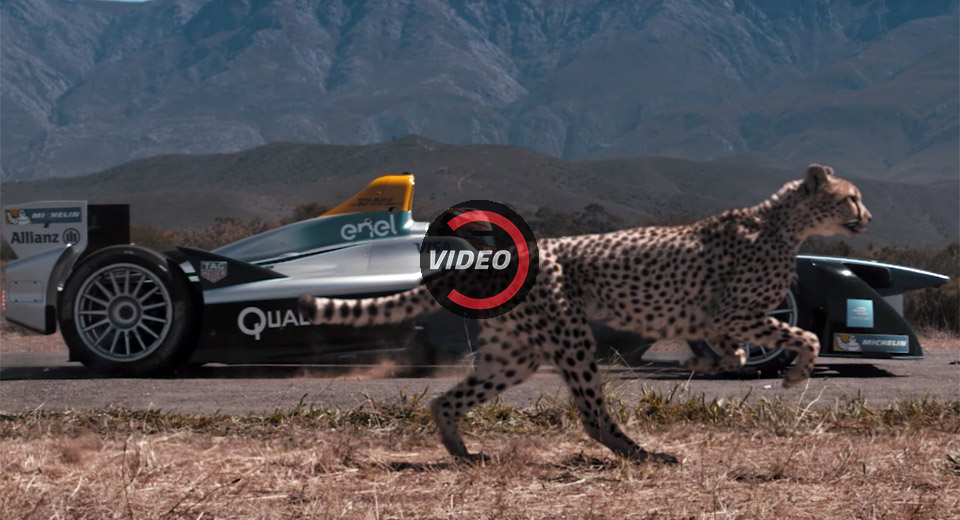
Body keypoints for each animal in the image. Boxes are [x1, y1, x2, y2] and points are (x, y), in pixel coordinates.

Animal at [298, 164, 872, 463]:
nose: (866, 216)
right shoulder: (734, 312)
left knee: (446, 398)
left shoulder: (715, 319)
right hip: (569, 339)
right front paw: (794, 375)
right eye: (851, 197)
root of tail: (506, 253)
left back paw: (463, 451)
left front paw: (711, 363)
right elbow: (804, 336)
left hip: (514, 354)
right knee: (593, 413)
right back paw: (642, 453)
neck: (785, 224)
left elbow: (731, 349)